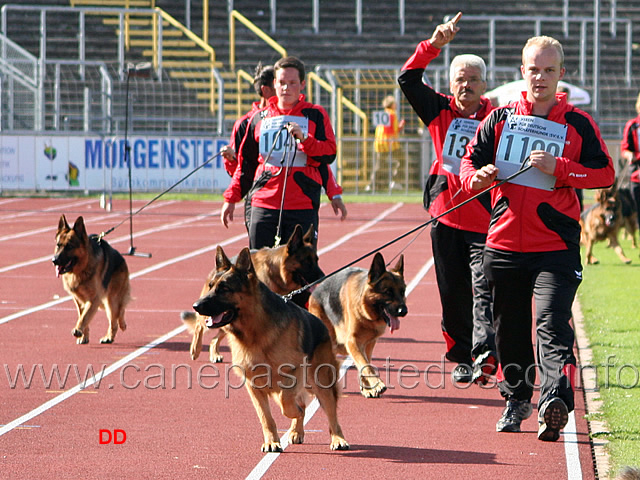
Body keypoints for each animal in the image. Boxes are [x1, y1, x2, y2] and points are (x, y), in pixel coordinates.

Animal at [53, 215, 132, 344]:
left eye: (69, 246)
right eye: (58, 245)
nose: (54, 261)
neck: (81, 269)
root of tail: (122, 258)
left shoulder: (94, 298)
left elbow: (85, 316)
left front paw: (78, 330)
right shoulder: (79, 300)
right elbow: (82, 315)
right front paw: (83, 336)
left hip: (111, 300)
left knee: (117, 315)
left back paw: (111, 334)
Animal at [181, 223, 322, 362]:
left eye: (316, 260)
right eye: (307, 262)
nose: (322, 276)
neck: (275, 273)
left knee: (216, 336)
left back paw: (214, 353)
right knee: (200, 326)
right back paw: (196, 348)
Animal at [194, 246, 350, 452]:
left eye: (224, 289)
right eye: (211, 286)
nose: (195, 306)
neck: (255, 331)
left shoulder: (292, 373)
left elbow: (288, 403)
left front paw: (293, 414)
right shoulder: (254, 386)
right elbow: (266, 418)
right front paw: (272, 441)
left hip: (321, 382)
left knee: (330, 413)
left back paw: (338, 439)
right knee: (301, 403)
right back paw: (296, 431)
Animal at [308, 253, 408, 400]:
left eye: (402, 292)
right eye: (387, 292)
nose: (404, 311)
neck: (366, 314)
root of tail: (315, 291)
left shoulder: (368, 344)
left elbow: (364, 363)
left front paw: (367, 388)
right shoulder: (352, 341)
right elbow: (365, 364)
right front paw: (377, 384)